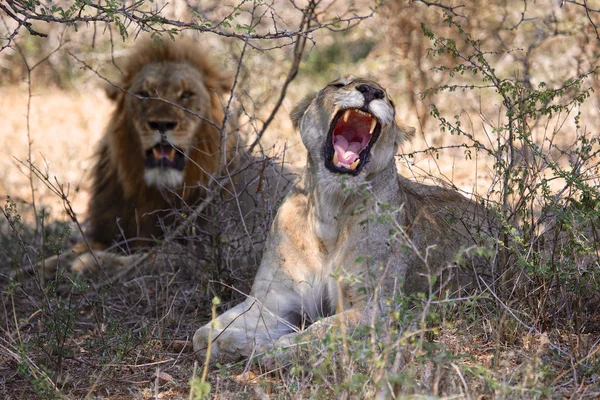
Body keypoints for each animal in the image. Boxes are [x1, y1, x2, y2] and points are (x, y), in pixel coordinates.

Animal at [192, 76, 496, 366]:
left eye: (390, 100)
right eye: (338, 84)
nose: (371, 91)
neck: (329, 208)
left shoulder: (376, 309)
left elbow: (319, 331)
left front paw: (272, 349)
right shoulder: (270, 300)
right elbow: (204, 335)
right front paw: (241, 345)